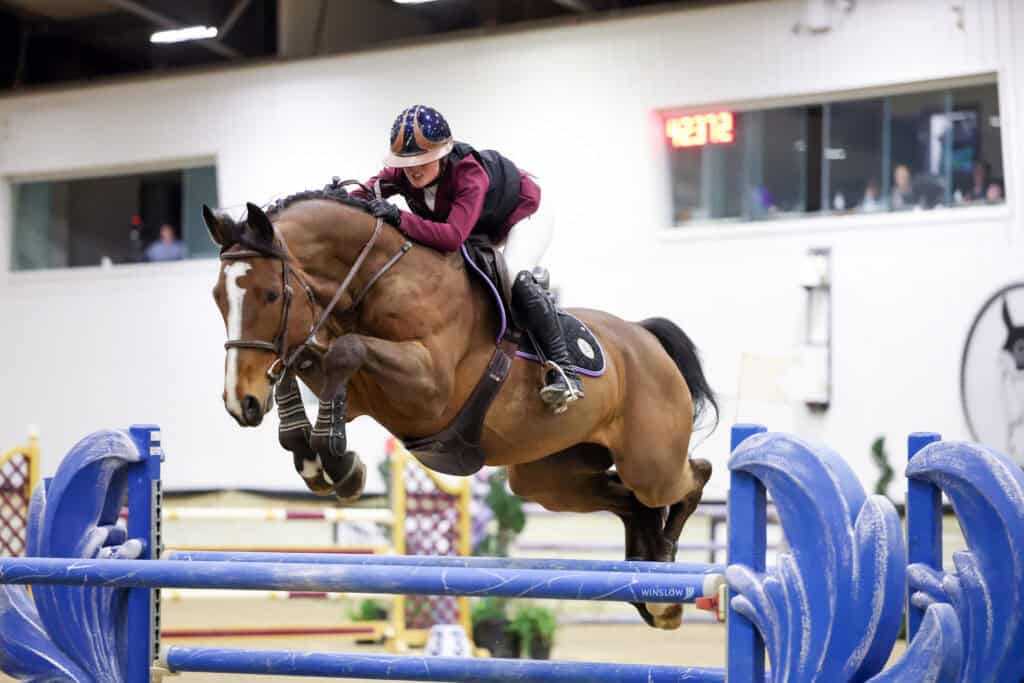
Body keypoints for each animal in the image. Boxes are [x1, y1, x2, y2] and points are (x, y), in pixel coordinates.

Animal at [204, 185, 717, 629]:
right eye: (218, 298)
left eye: (271, 294)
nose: (240, 402)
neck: (382, 278)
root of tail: (646, 338)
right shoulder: (356, 388)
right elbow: (309, 359)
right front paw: (315, 458)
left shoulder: (429, 390)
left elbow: (344, 351)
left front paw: (336, 463)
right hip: (550, 478)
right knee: (630, 502)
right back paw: (650, 584)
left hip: (649, 463)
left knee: (693, 475)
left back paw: (665, 566)